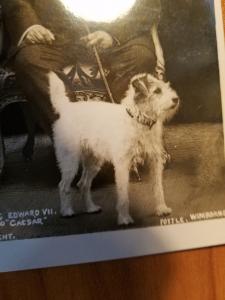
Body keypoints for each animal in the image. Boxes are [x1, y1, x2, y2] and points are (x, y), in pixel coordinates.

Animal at [48, 71, 178, 224]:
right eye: (157, 91)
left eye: (167, 87)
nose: (176, 99)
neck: (139, 121)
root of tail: (67, 108)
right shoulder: (123, 165)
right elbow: (123, 194)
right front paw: (124, 218)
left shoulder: (155, 162)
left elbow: (158, 188)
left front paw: (161, 208)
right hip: (70, 162)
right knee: (63, 186)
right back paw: (67, 211)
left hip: (93, 163)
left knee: (83, 184)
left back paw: (91, 208)